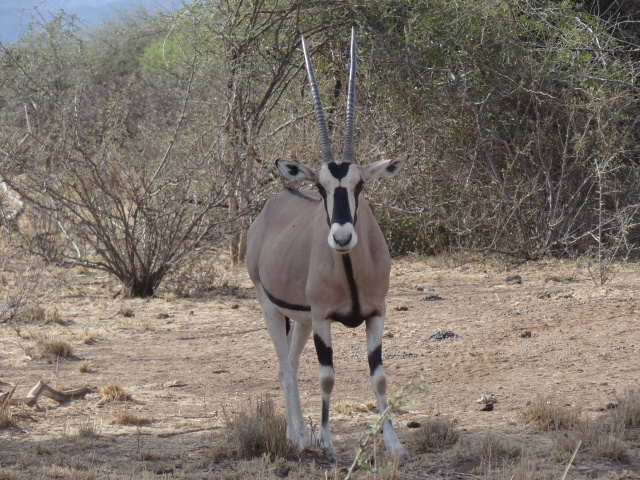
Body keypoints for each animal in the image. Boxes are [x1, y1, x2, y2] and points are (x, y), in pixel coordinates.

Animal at [248, 29, 408, 462]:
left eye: (360, 184)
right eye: (320, 187)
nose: (341, 237)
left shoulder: (376, 313)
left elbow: (379, 378)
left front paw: (394, 444)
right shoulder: (322, 319)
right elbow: (327, 377)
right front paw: (328, 443)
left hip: (300, 319)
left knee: (291, 360)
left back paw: (298, 434)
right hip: (271, 307)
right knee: (285, 366)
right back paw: (298, 436)